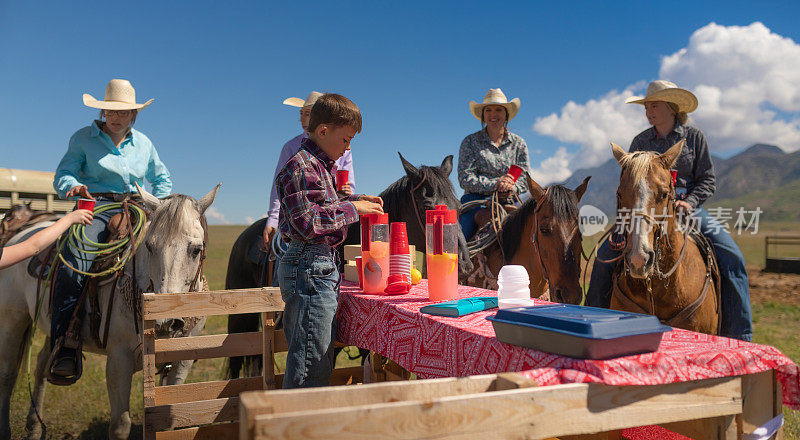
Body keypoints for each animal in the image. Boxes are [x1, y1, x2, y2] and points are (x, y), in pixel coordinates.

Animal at [0, 184, 219, 440]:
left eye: (196, 250)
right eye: (150, 246)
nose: (165, 322)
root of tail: (20, 233)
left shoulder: (181, 363)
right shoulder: (118, 362)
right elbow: (119, 425)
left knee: (42, 365)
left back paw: (34, 427)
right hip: (13, 319)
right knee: (8, 374)